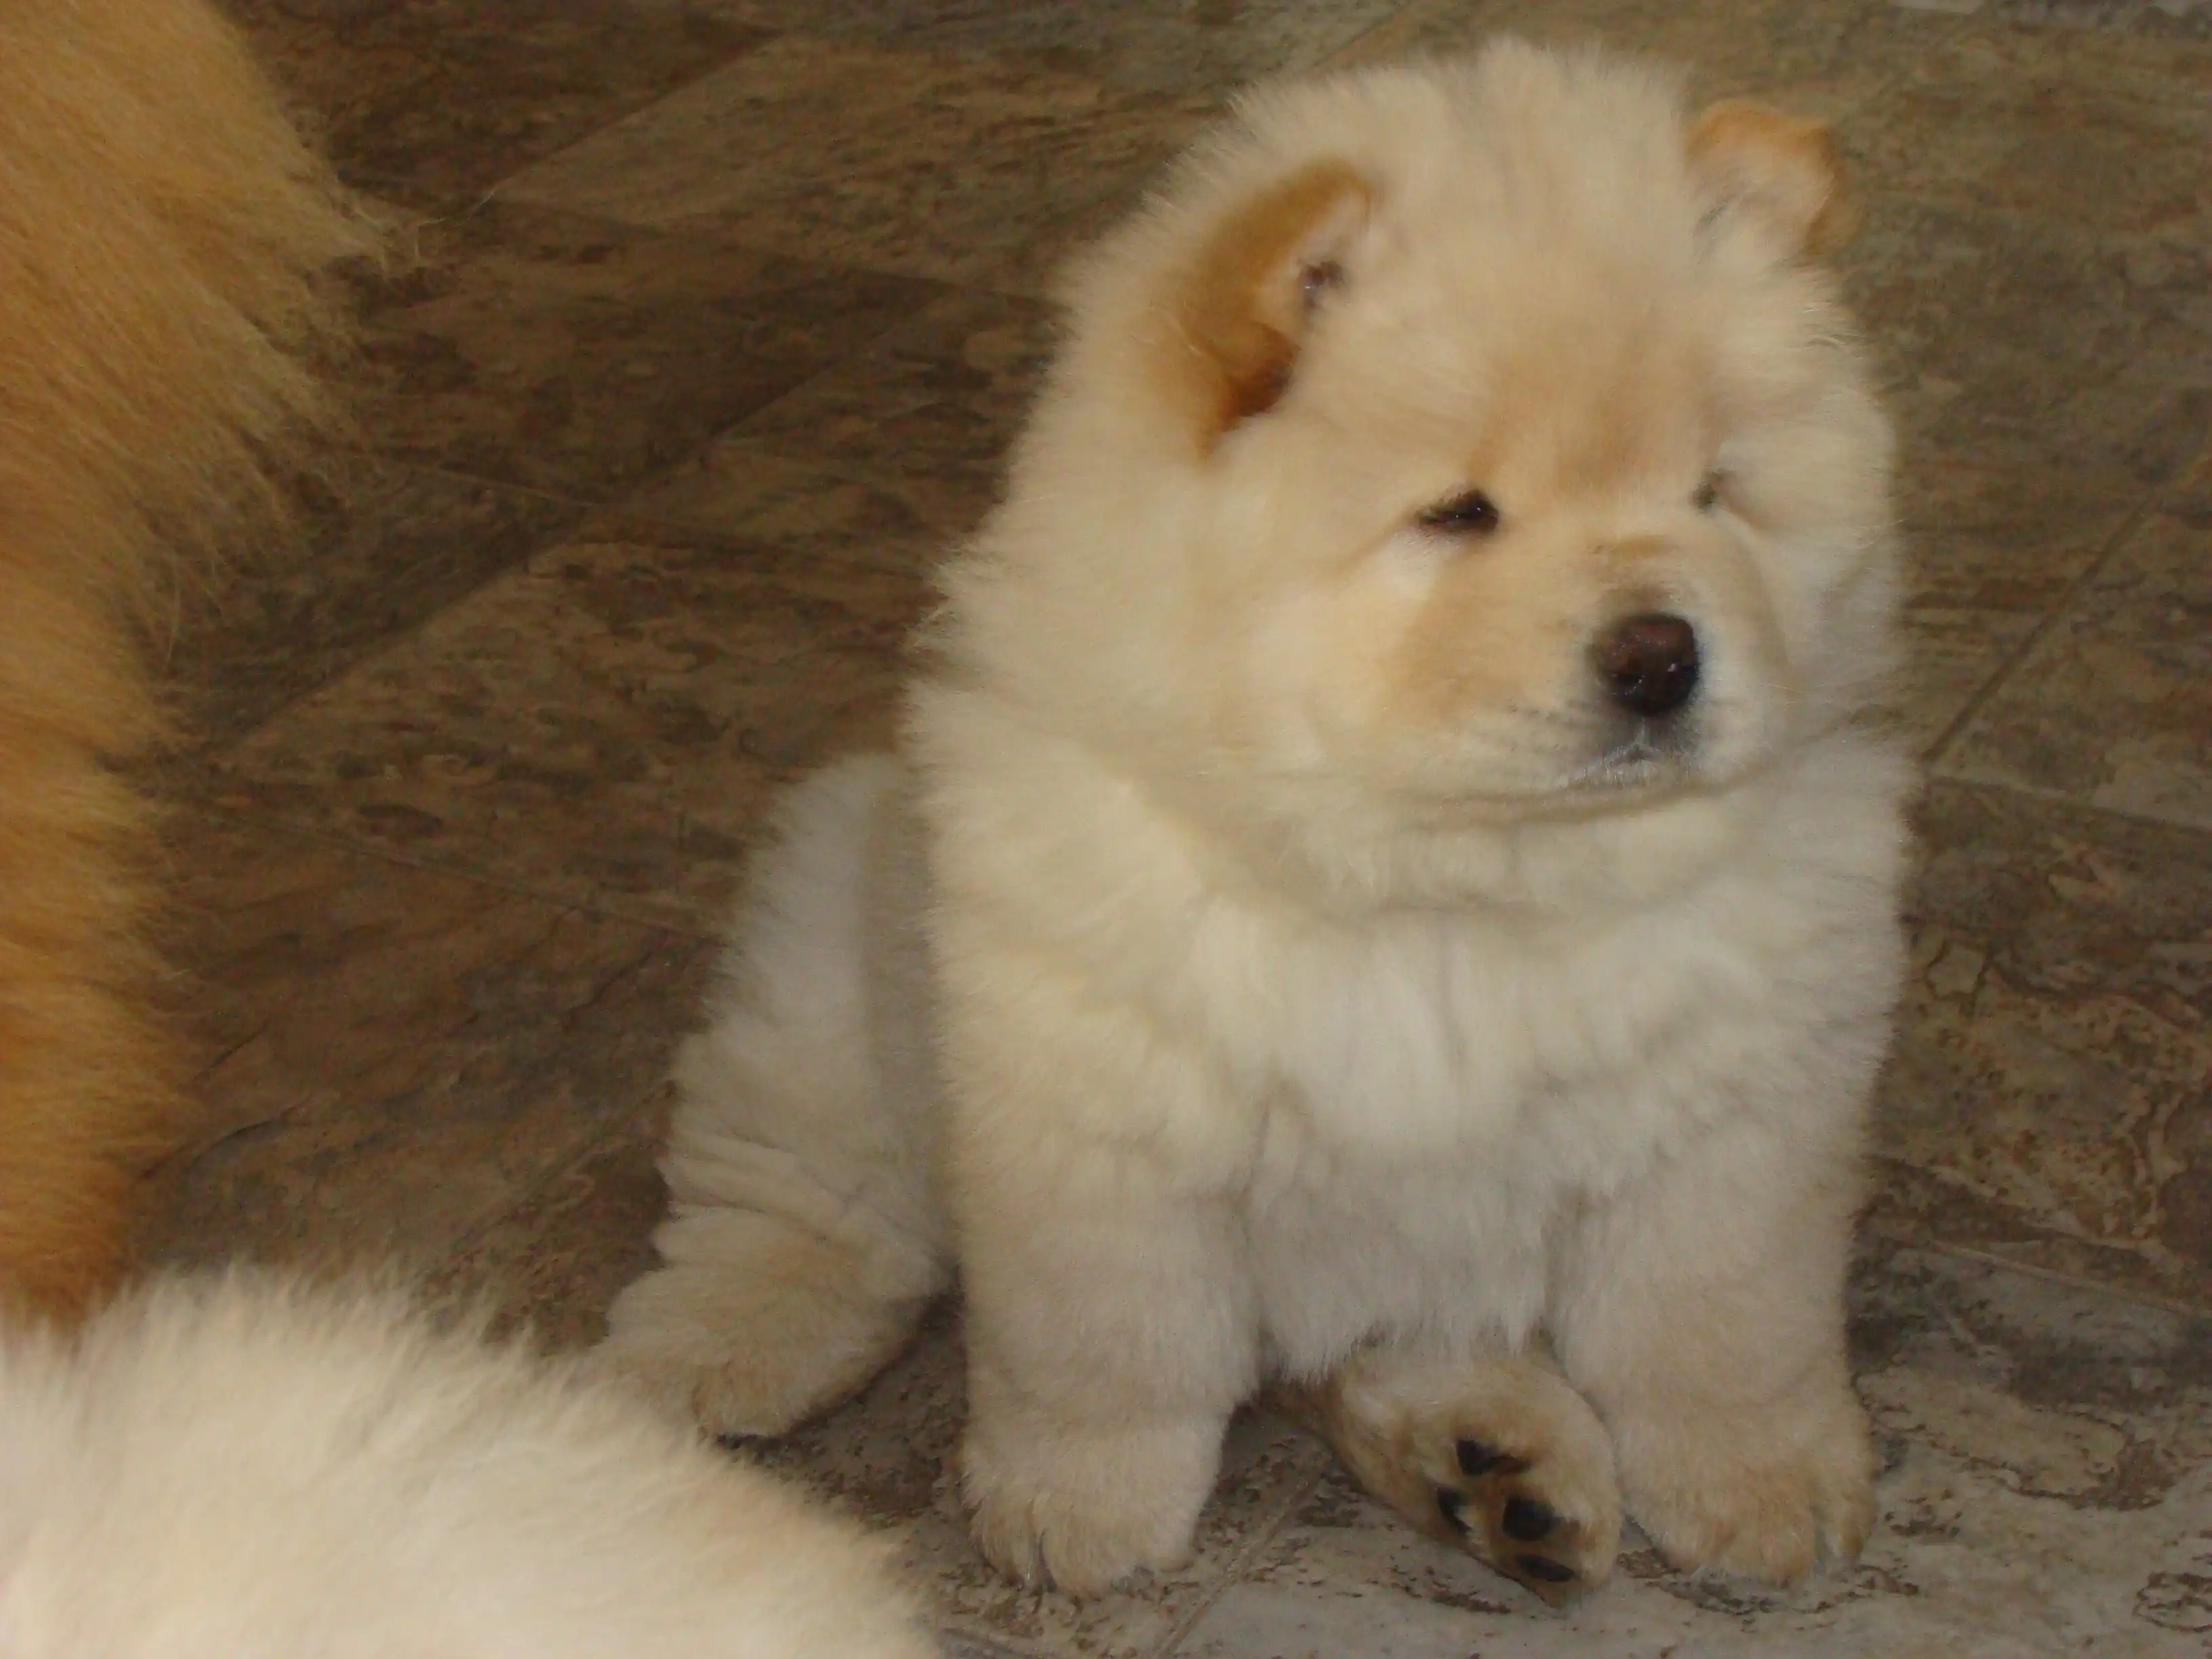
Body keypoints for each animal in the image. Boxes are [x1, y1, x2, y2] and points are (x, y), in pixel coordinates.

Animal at [602, 38, 1910, 1606]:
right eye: (1459, 515)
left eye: (1716, 494)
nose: (1660, 655)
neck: (1450, 877)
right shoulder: (1096, 1109)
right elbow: (1107, 1343)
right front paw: (1076, 1513)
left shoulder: (1739, 1102)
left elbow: (1718, 1322)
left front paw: (1763, 1490)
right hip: (832, 944)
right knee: (804, 1197)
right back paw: (702, 1358)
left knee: (1378, 1353)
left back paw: (1499, 1475)